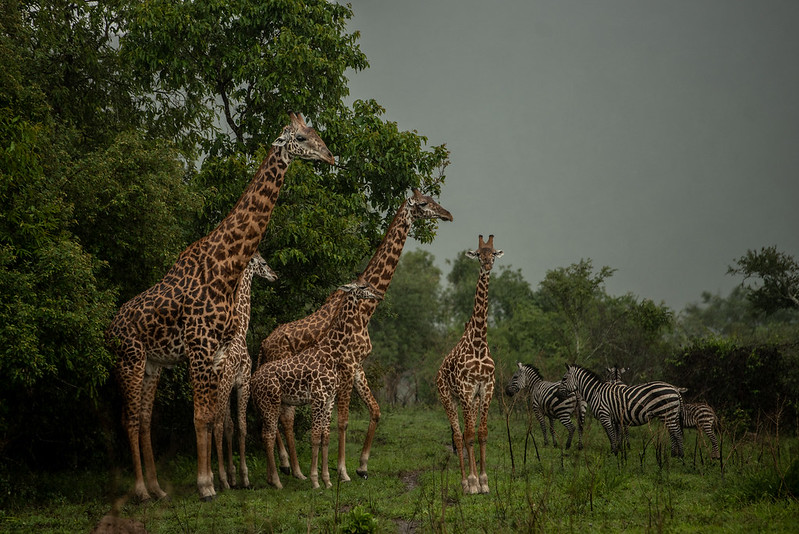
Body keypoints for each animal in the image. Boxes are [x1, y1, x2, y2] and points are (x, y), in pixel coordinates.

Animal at [212, 251, 278, 490]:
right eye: (264, 263)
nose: (275, 275)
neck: (241, 329)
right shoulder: (243, 383)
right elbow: (241, 426)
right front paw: (244, 477)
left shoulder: (232, 387)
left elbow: (231, 426)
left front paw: (233, 475)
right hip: (220, 388)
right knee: (215, 425)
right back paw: (221, 481)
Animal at [252, 280, 386, 494]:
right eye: (363, 287)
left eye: (369, 285)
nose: (378, 295)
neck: (331, 351)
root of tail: (253, 379)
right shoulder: (318, 396)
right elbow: (315, 436)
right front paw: (317, 481)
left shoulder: (329, 397)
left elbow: (325, 436)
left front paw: (327, 480)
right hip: (270, 403)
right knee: (269, 434)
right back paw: (279, 480)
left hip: (269, 404)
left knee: (268, 432)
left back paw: (273, 477)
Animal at [438, 237, 506, 496]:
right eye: (478, 254)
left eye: (493, 253)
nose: (487, 264)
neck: (478, 345)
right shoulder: (466, 391)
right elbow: (467, 436)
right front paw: (474, 482)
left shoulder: (486, 389)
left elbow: (481, 434)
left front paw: (485, 482)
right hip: (448, 397)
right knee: (458, 437)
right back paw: (464, 483)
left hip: (473, 401)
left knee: (468, 433)